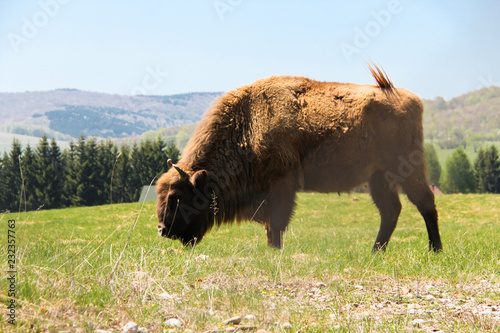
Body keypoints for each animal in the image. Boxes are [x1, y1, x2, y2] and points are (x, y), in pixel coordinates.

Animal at [156, 65, 442, 252]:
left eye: (176, 197)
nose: (162, 229)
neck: (248, 124)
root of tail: (409, 98)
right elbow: (272, 224)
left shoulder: (282, 186)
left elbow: (276, 223)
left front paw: (274, 251)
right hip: (378, 177)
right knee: (391, 210)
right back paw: (375, 251)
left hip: (407, 168)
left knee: (425, 203)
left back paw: (434, 250)